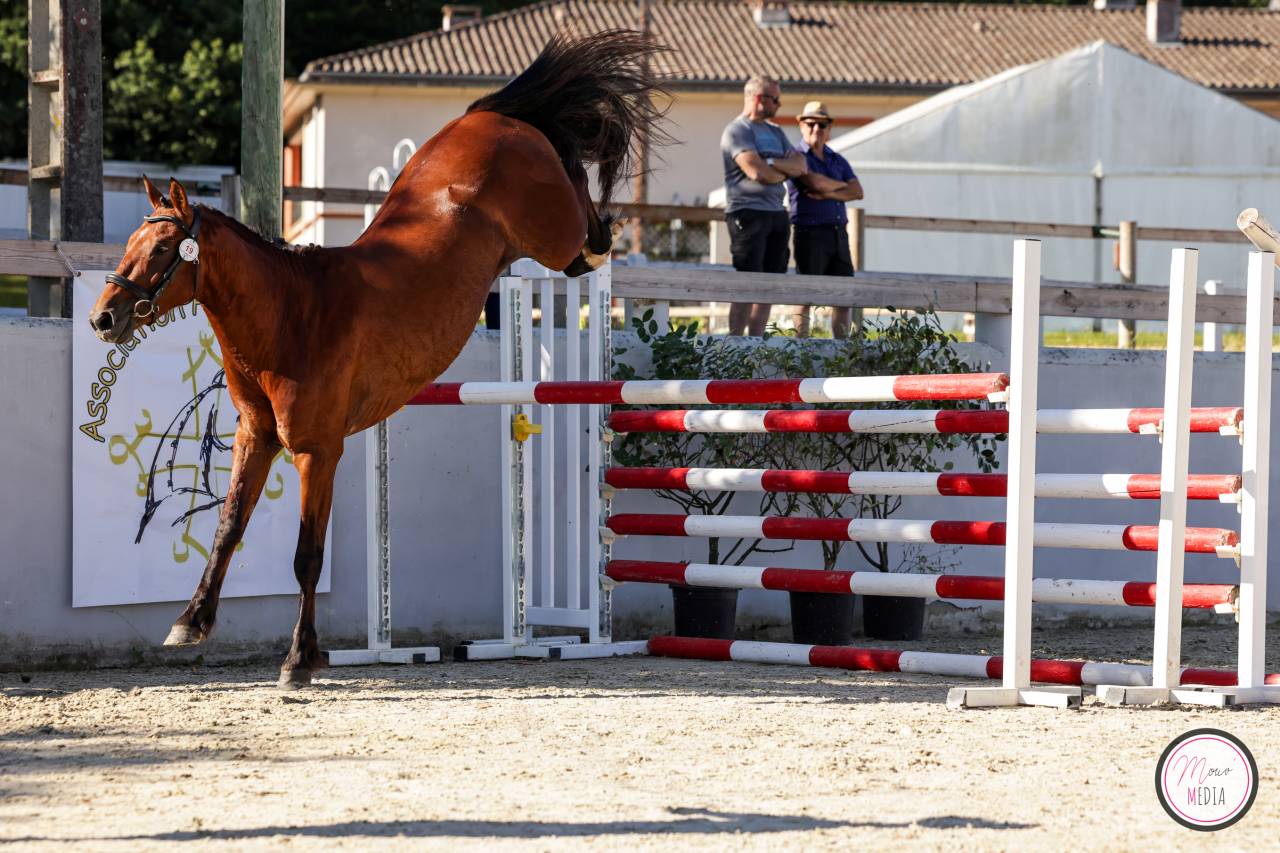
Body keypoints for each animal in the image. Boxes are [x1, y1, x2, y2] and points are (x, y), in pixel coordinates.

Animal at [87, 31, 668, 688]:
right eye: (132, 244)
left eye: (163, 248)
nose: (103, 318)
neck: (289, 315)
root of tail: (488, 116)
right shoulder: (256, 440)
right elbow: (227, 528)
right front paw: (191, 622)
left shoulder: (317, 451)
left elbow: (306, 557)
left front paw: (299, 659)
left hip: (553, 234)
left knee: (579, 207)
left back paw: (604, 232)